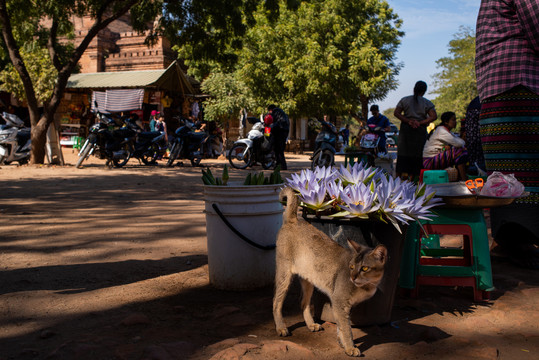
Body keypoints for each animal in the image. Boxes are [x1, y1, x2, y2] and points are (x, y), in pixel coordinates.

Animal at [274, 187, 388, 356]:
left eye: (364, 268)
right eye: (351, 267)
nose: (353, 277)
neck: (367, 286)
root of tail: (293, 219)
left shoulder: (344, 306)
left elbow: (341, 325)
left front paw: (342, 343)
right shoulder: (339, 301)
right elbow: (347, 328)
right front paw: (350, 347)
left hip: (309, 281)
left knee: (303, 303)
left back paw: (311, 325)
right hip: (284, 275)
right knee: (276, 302)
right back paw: (281, 327)